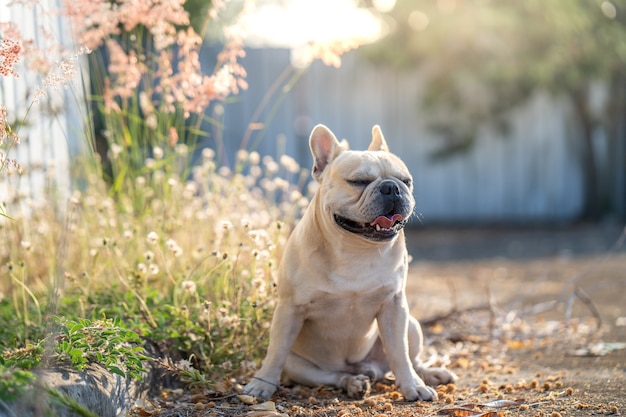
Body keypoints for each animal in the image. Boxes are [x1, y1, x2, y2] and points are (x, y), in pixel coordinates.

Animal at [243, 123, 454, 400]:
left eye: (406, 181)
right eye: (358, 182)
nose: (392, 187)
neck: (357, 250)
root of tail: (368, 368)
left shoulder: (394, 307)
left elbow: (400, 354)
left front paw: (413, 386)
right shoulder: (290, 309)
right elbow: (275, 352)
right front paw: (262, 384)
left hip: (411, 324)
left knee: (410, 359)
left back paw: (428, 374)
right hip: (299, 365)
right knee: (330, 375)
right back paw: (353, 382)